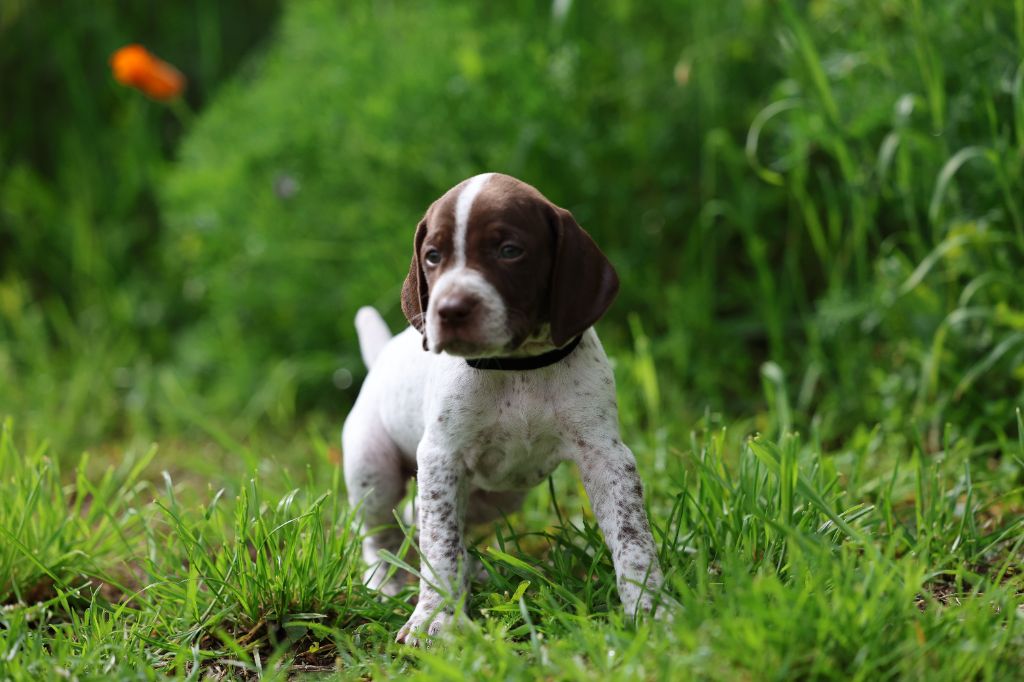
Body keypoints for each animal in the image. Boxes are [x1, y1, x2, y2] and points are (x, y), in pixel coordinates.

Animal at [342, 171, 663, 643]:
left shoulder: (605, 456)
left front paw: (653, 610)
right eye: (433, 256)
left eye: (509, 251)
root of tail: (381, 354)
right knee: (381, 533)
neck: (517, 366)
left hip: (498, 497)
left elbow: (633, 537)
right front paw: (434, 618)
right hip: (373, 469)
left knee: (421, 517)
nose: (449, 309)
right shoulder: (440, 457)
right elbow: (440, 547)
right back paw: (386, 583)